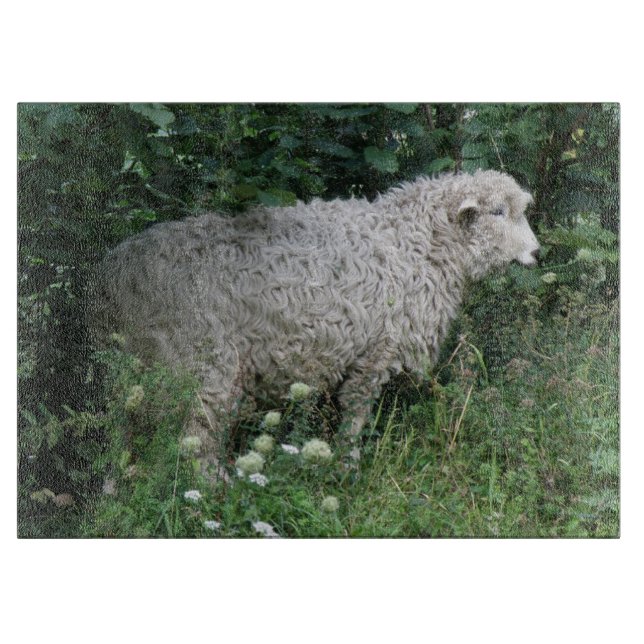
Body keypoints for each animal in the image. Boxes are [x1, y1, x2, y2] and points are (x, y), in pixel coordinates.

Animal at [92, 169, 540, 476]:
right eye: (498, 212)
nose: (538, 253)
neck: (419, 242)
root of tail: (115, 274)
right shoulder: (377, 350)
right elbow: (355, 414)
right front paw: (347, 466)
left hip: (133, 365)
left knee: (121, 429)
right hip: (201, 360)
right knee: (196, 435)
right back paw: (211, 489)